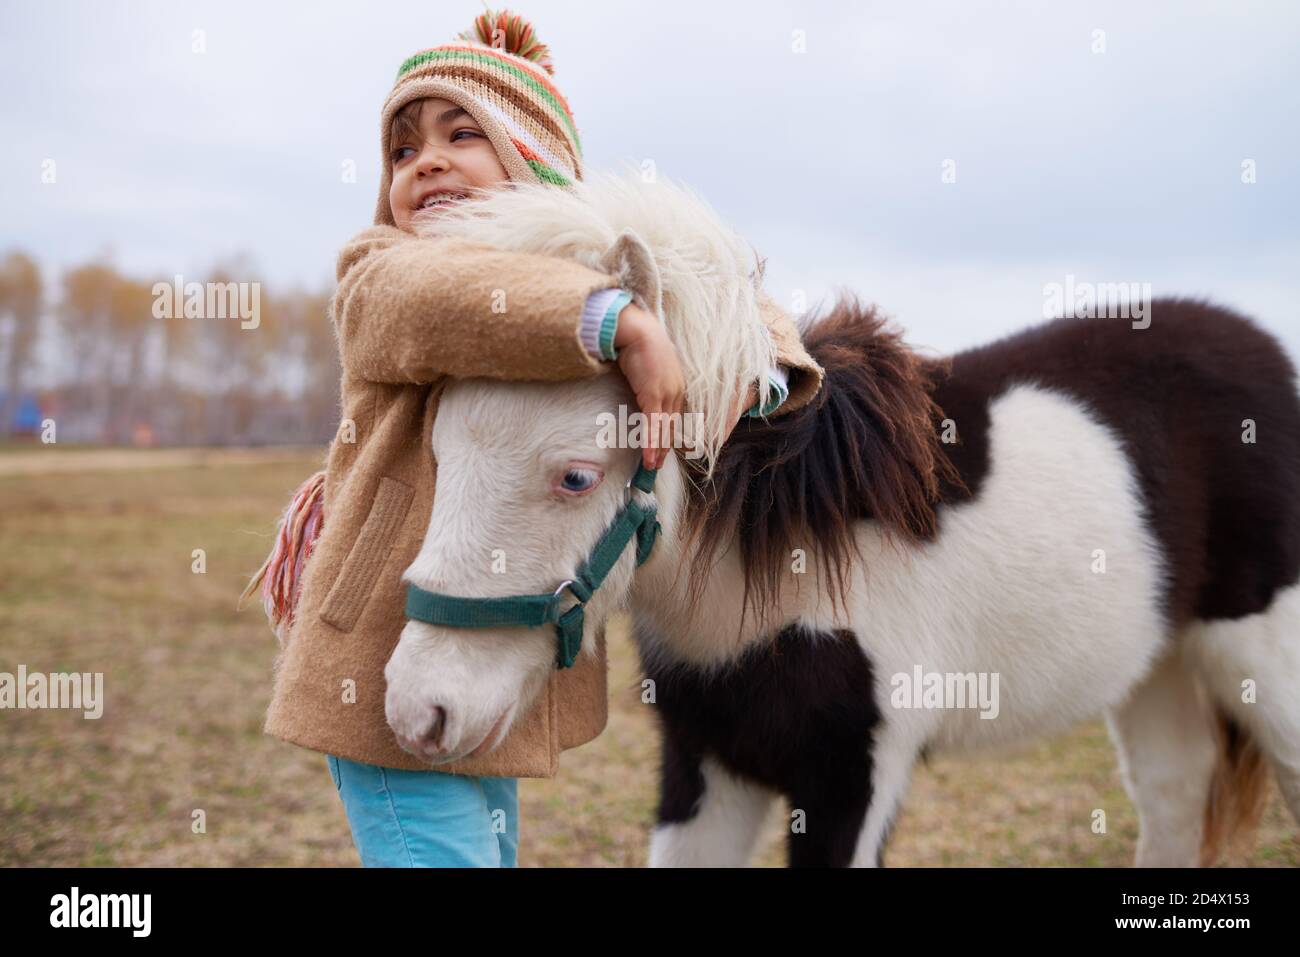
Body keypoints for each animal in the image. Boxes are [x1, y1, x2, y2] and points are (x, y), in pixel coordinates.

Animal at [382, 171, 1300, 868]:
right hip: (1159, 666)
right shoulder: (705, 763)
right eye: (440, 451)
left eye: (575, 476)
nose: (419, 712)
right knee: (1176, 794)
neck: (781, 542)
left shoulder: (854, 775)